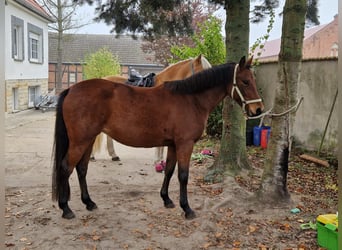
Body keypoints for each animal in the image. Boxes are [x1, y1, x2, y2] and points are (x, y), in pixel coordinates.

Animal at [51, 56, 264, 219]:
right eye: (245, 81)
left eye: (253, 79)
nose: (258, 109)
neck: (191, 99)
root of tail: (71, 89)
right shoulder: (185, 144)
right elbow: (183, 175)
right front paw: (187, 208)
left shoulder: (173, 145)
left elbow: (169, 170)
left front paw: (167, 199)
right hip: (79, 142)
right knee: (66, 168)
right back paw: (66, 208)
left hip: (87, 141)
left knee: (81, 169)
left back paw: (88, 202)